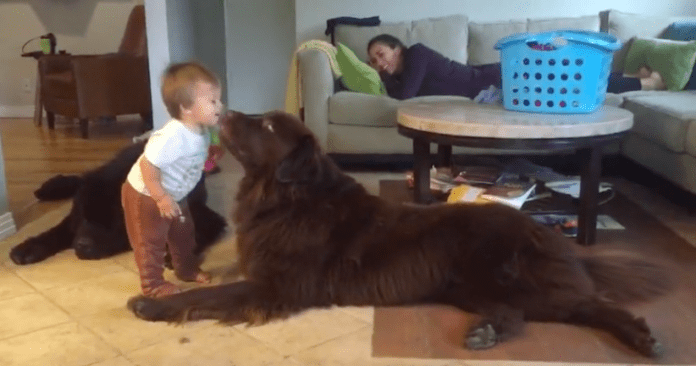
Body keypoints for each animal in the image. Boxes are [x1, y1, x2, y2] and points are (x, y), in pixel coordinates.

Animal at [9, 142, 227, 264]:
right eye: (85, 217)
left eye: (114, 223)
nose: (81, 245)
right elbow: (57, 231)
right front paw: (28, 249)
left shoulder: (202, 214)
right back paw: (50, 187)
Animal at [126, 110, 676, 356]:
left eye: (263, 127)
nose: (222, 111)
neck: (288, 197)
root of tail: (554, 237)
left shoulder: (273, 285)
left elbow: (211, 296)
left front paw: (152, 304)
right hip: (473, 287)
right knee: (517, 314)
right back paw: (486, 332)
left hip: (513, 280)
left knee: (590, 305)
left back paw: (640, 335)